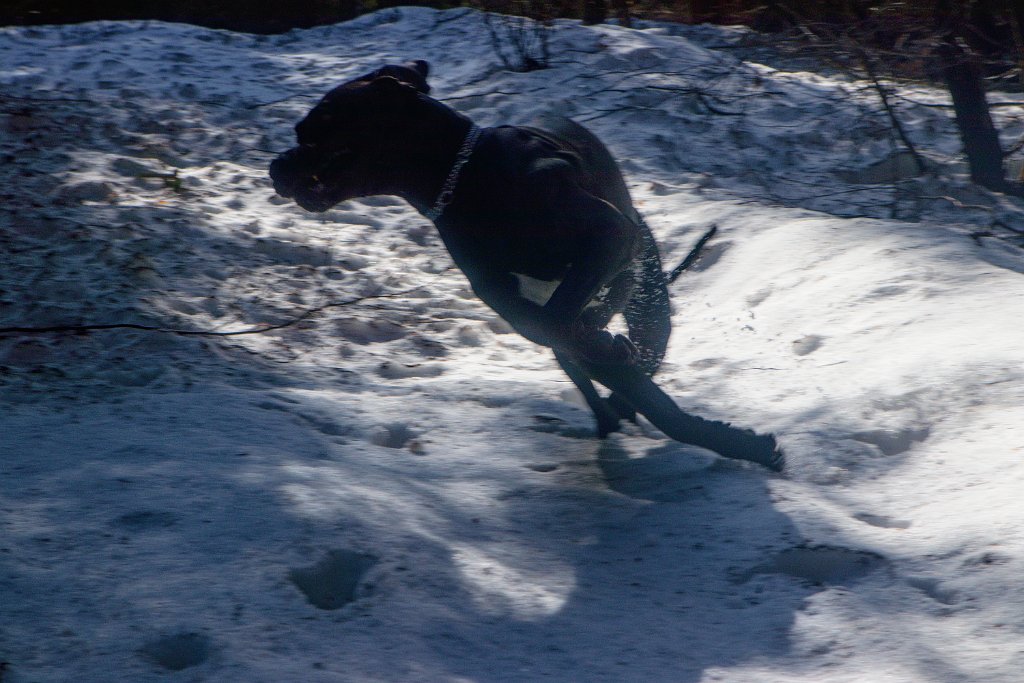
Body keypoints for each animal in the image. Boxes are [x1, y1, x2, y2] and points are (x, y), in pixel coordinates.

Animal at [270, 61, 782, 471]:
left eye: (314, 130)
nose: (275, 166)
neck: (466, 175)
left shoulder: (607, 235)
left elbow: (567, 326)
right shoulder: (513, 306)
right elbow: (556, 330)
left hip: (645, 295)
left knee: (635, 348)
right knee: (595, 370)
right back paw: (610, 402)